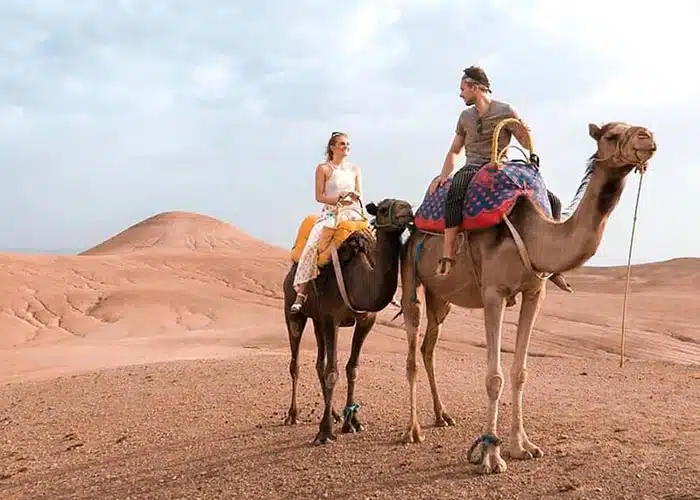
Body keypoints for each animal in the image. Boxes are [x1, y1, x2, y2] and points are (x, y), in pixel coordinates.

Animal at [284, 197, 416, 444]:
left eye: (407, 205)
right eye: (384, 208)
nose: (407, 211)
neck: (358, 276)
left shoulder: (366, 320)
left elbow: (351, 368)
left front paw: (352, 422)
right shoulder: (331, 318)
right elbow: (332, 371)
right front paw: (325, 432)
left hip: (317, 320)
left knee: (319, 363)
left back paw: (335, 414)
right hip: (293, 311)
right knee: (295, 363)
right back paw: (292, 416)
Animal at [400, 120, 656, 472]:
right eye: (611, 135)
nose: (648, 137)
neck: (534, 234)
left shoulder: (535, 292)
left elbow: (520, 372)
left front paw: (523, 446)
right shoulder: (493, 294)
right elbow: (494, 377)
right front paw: (491, 456)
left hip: (442, 298)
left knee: (429, 347)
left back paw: (442, 416)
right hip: (411, 273)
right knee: (412, 350)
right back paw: (412, 430)